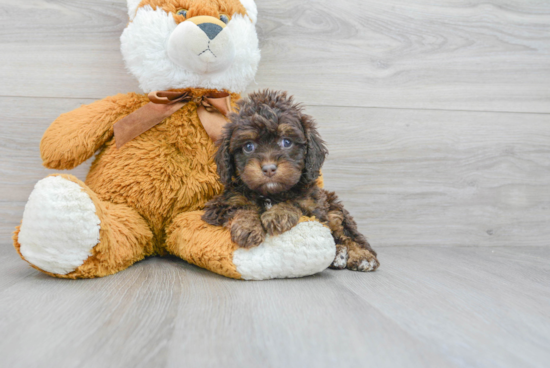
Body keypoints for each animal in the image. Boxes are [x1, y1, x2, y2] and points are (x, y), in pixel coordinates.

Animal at [205, 90, 382, 272]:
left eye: (286, 142)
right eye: (248, 146)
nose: (269, 168)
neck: (271, 194)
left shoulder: (315, 207)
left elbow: (296, 203)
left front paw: (277, 215)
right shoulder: (220, 205)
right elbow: (240, 207)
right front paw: (247, 227)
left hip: (334, 210)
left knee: (348, 235)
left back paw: (362, 256)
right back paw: (339, 255)